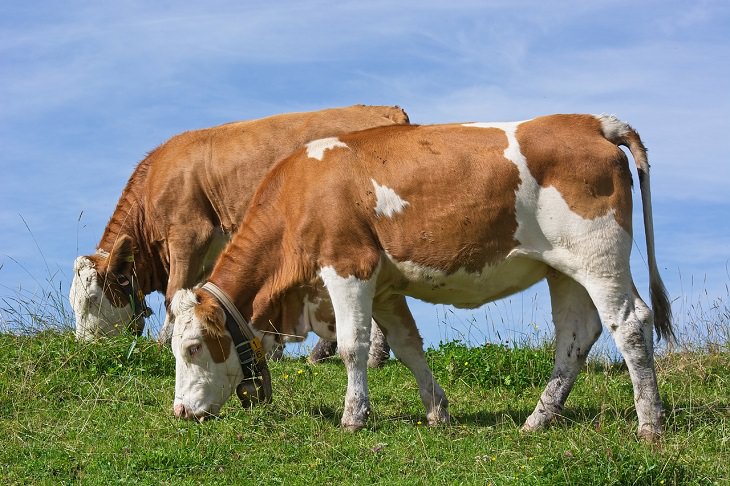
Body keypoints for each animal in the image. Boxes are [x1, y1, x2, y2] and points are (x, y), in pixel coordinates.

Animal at [69, 104, 410, 362]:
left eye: (92, 299)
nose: (86, 347)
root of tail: (386, 110)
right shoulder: (212, 251)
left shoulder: (187, 233)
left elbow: (173, 293)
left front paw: (164, 344)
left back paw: (370, 356)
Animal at [168, 114, 672, 440]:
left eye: (192, 347)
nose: (180, 410)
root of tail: (591, 122)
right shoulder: (386, 289)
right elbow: (408, 346)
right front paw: (437, 411)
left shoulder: (349, 265)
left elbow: (353, 346)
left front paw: (354, 416)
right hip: (564, 268)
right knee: (575, 335)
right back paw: (539, 419)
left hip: (600, 257)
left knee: (630, 324)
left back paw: (649, 423)